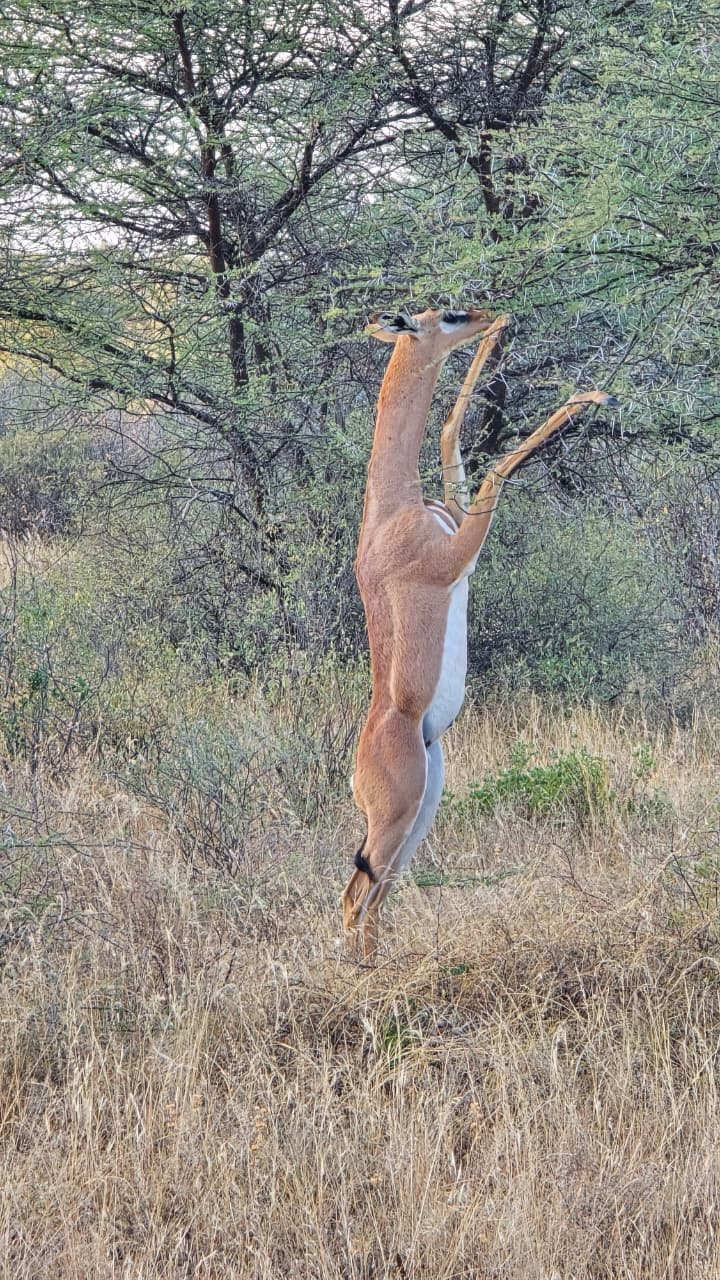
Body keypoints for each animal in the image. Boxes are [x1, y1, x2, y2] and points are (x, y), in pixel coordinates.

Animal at [341, 306, 617, 958]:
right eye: (446, 316)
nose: (491, 314)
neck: (393, 511)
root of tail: (356, 772)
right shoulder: (459, 553)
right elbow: (493, 466)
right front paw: (593, 394)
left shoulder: (455, 512)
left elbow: (448, 431)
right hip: (395, 820)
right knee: (352, 903)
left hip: (422, 814)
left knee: (373, 901)